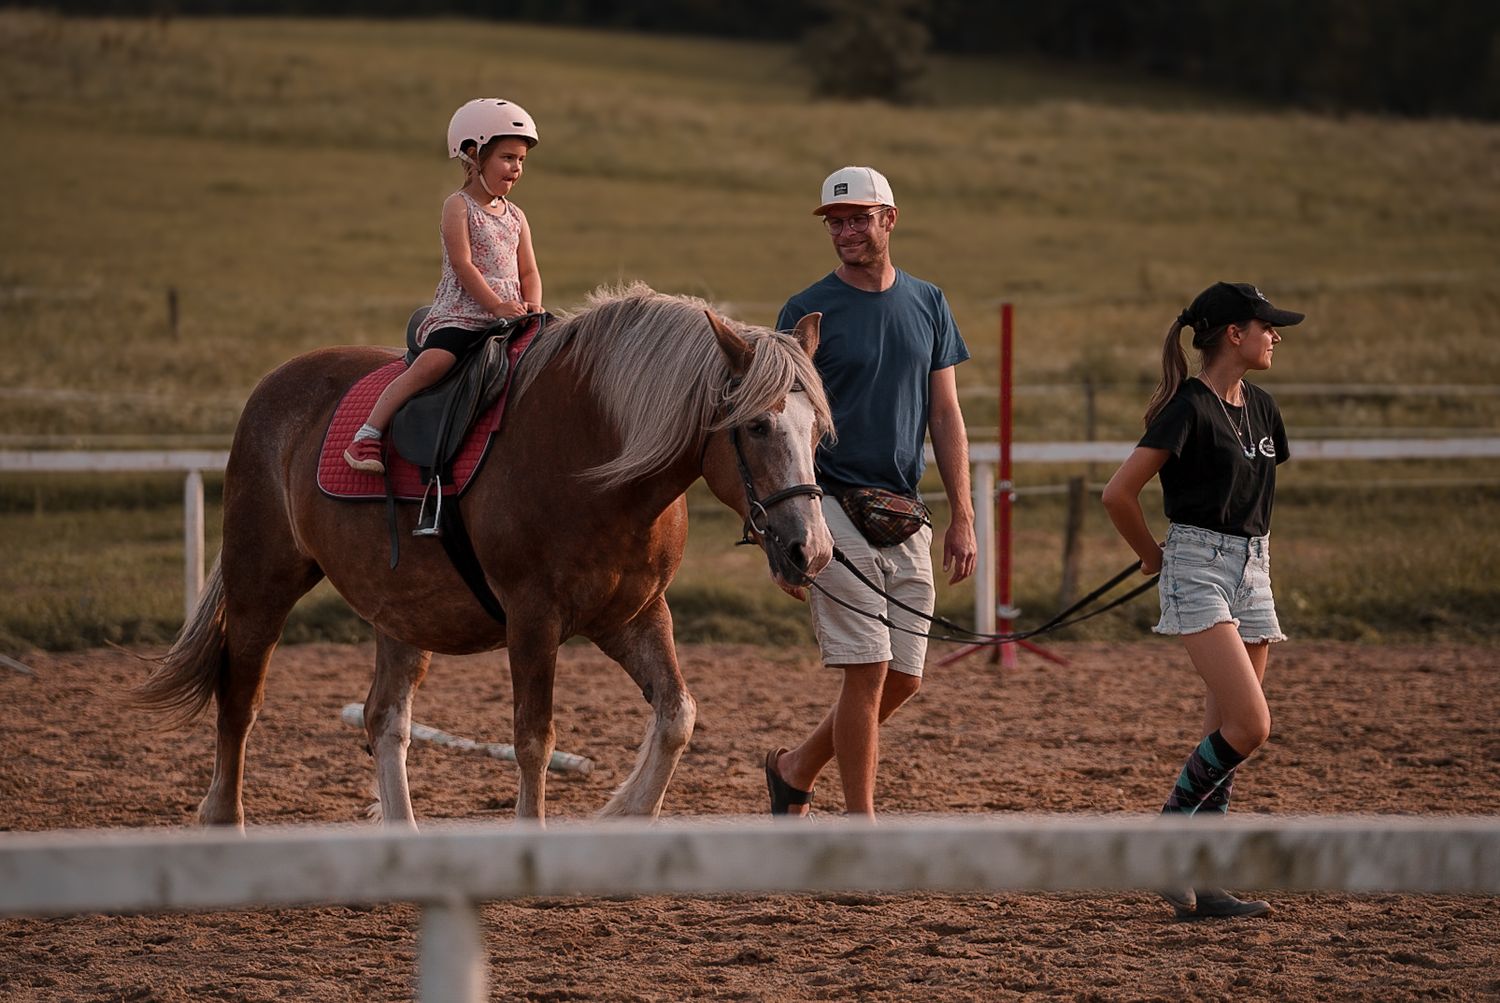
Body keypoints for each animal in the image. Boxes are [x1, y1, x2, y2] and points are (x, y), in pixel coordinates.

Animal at [137, 283, 834, 829]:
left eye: (818, 432)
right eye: (756, 426)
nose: (812, 549)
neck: (595, 455)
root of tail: (275, 384)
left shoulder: (634, 615)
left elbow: (676, 715)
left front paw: (627, 813)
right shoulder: (533, 620)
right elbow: (533, 740)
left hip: (400, 614)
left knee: (383, 718)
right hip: (263, 581)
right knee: (240, 698)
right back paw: (225, 821)